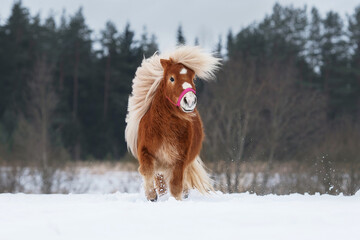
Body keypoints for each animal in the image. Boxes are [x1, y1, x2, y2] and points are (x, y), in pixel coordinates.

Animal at [125, 45, 221, 201]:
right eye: (171, 78)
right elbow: (147, 171)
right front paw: (151, 196)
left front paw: (175, 201)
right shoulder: (146, 152)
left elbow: (176, 187)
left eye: (193, 78)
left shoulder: (179, 160)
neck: (164, 128)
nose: (190, 100)